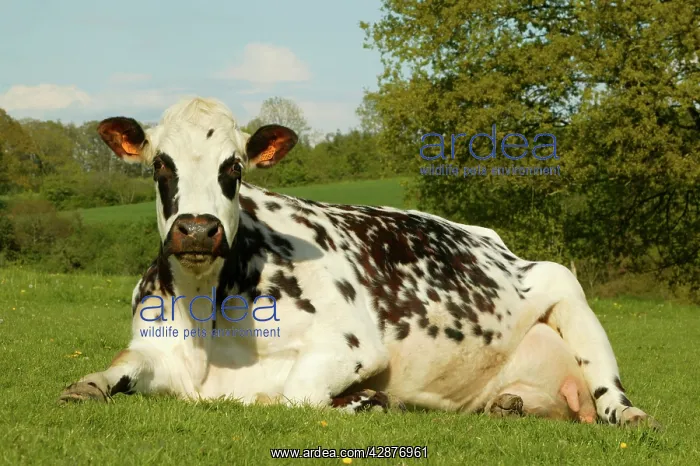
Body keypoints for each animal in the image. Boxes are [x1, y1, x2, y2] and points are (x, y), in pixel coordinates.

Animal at [59, 97, 659, 429]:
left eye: (234, 167)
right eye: (161, 164)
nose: (198, 229)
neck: (206, 312)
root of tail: (496, 241)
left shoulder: (349, 345)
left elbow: (291, 397)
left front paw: (365, 402)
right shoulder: (158, 351)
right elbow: (118, 367)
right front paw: (85, 386)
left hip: (562, 283)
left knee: (606, 386)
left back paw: (627, 414)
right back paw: (510, 406)